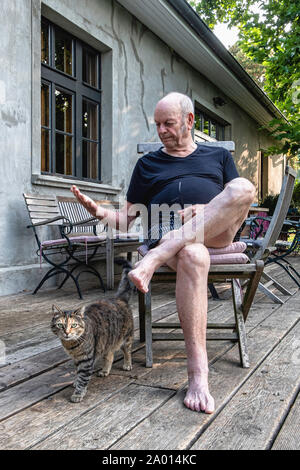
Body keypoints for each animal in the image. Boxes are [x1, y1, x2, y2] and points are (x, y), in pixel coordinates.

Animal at [51, 258, 133, 402]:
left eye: (74, 325)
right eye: (60, 325)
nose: (67, 333)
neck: (71, 345)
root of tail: (119, 298)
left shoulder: (86, 360)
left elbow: (83, 378)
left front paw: (78, 393)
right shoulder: (77, 359)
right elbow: (77, 374)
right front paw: (75, 381)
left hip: (125, 338)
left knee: (127, 351)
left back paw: (127, 364)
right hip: (107, 341)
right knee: (110, 355)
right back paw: (105, 370)